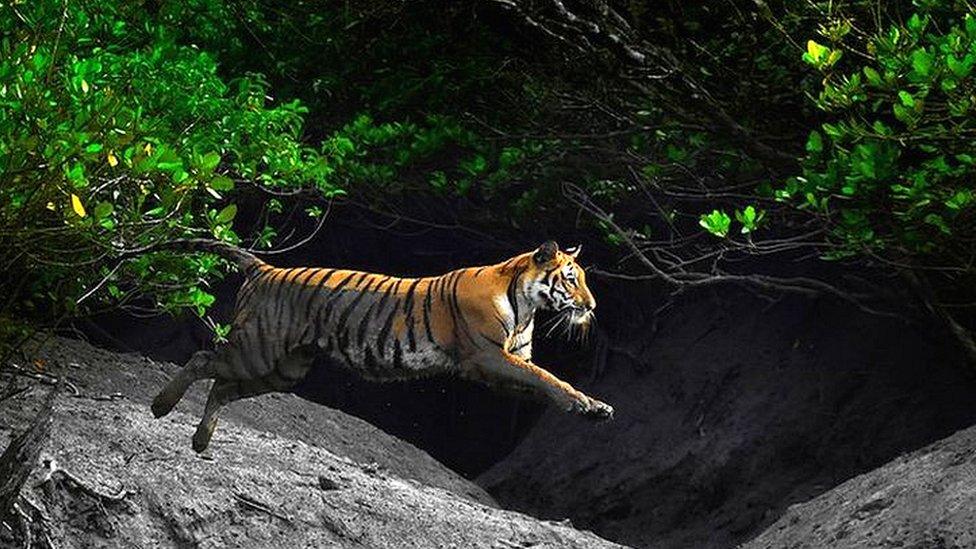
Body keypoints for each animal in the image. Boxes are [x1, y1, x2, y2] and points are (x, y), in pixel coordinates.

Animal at [149, 239, 612, 450]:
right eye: (572, 278)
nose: (593, 306)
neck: (528, 304)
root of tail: (265, 268)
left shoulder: (506, 362)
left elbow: (540, 381)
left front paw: (593, 408)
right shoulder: (485, 355)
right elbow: (548, 377)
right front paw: (585, 404)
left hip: (284, 369)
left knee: (222, 386)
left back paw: (201, 441)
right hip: (257, 350)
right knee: (202, 358)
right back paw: (161, 406)